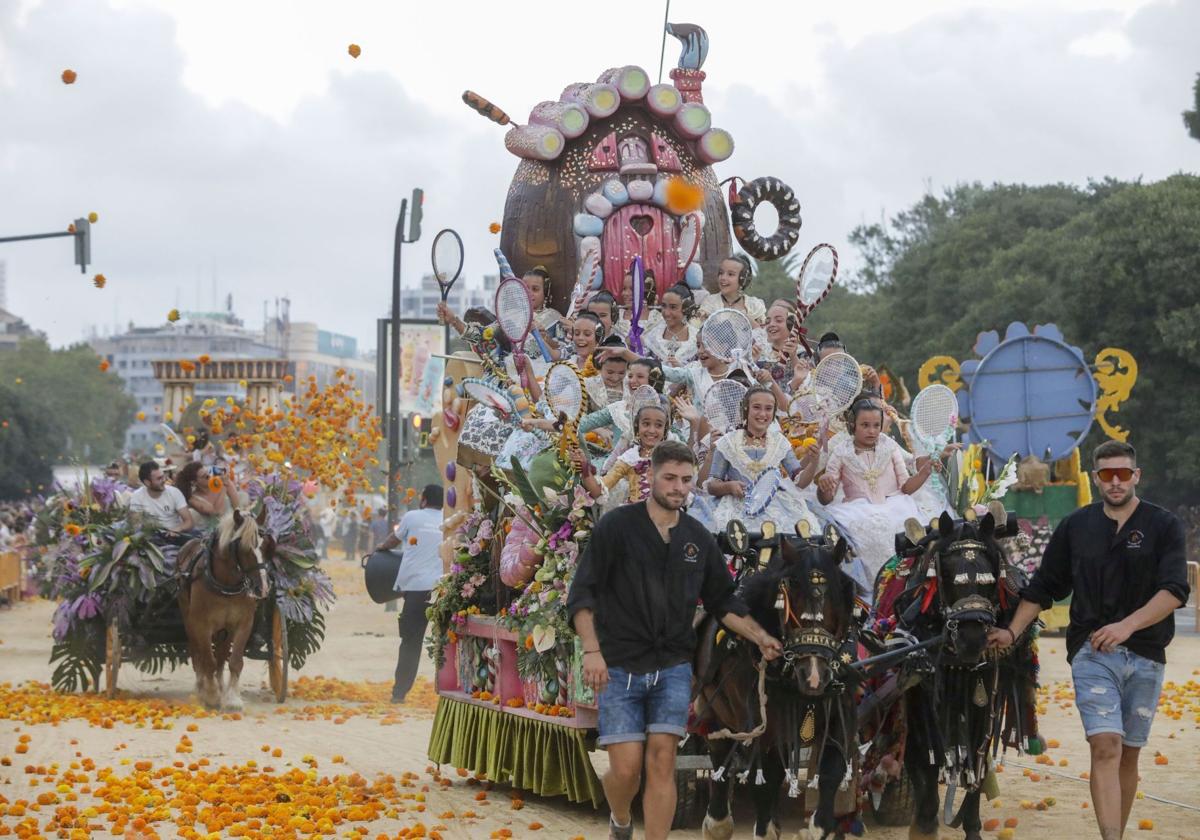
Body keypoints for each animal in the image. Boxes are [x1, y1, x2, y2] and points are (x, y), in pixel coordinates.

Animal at [176, 508, 273, 710]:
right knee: (197, 653)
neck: (226, 584)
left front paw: (232, 698)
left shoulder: (243, 623)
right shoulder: (201, 625)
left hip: (224, 628)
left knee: (221, 654)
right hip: (189, 619)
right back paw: (202, 687)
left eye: (267, 546)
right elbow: (208, 661)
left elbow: (235, 661)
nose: (262, 588)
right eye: (244, 548)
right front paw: (211, 696)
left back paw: (220, 685)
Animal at [696, 535, 864, 840]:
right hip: (715, 709)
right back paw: (718, 822)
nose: (813, 676)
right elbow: (763, 781)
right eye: (790, 602)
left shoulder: (841, 715)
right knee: (720, 753)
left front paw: (815, 827)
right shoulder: (760, 729)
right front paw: (763, 827)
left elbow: (831, 773)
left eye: (835, 601)